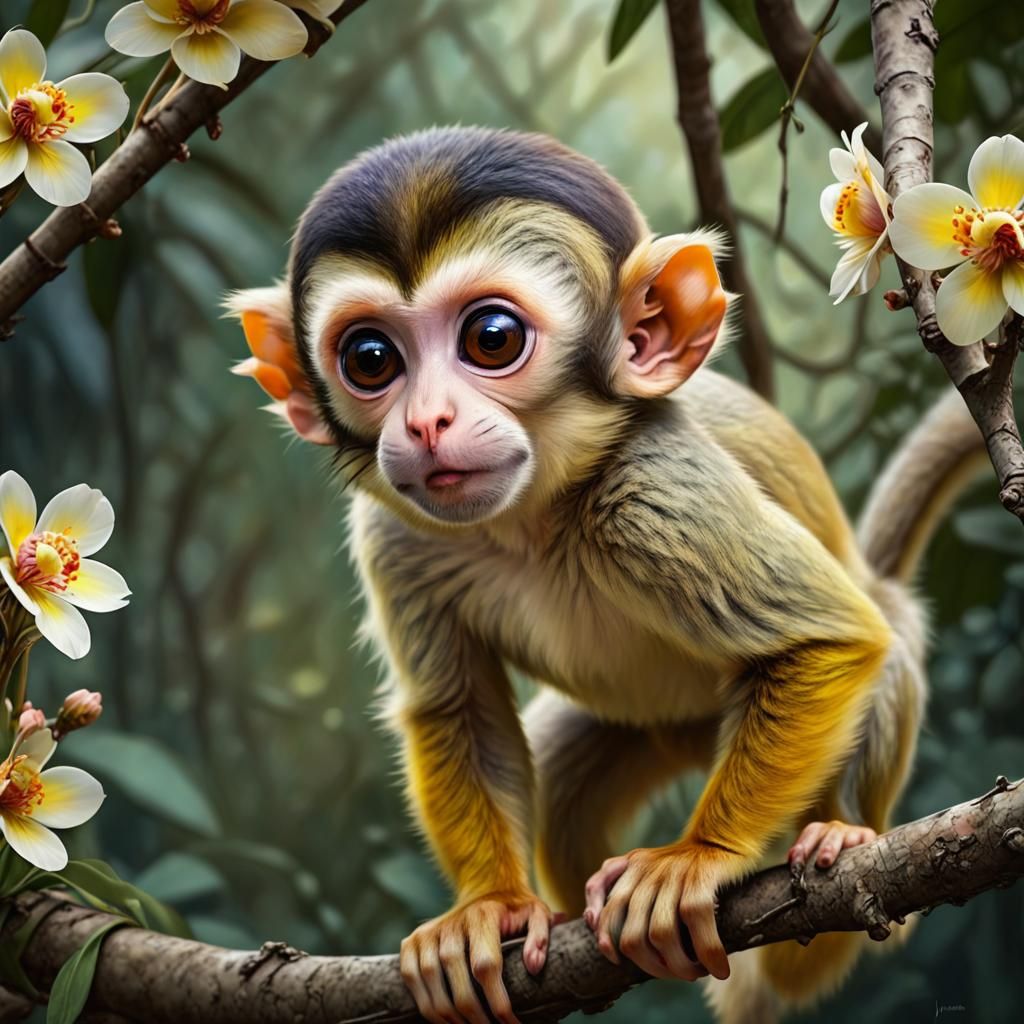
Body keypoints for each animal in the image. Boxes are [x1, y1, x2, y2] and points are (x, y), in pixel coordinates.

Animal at [227, 127, 987, 1024]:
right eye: (371, 358)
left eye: (491, 339)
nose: (426, 423)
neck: (531, 516)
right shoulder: (395, 535)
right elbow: (458, 705)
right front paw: (488, 909)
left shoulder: (654, 490)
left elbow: (826, 640)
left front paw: (698, 856)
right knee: (562, 764)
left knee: (885, 637)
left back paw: (841, 830)